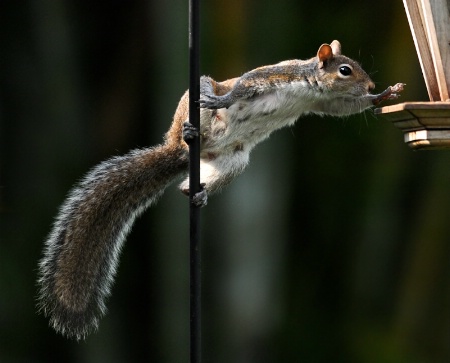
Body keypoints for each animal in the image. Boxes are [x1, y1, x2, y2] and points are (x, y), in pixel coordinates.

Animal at [37, 40, 406, 342]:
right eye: (345, 70)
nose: (371, 84)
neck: (312, 88)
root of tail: (178, 152)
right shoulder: (275, 75)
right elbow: (244, 85)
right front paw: (226, 98)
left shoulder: (330, 103)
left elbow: (346, 108)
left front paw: (383, 95)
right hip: (196, 102)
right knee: (196, 117)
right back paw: (192, 131)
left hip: (234, 161)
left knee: (188, 185)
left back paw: (198, 193)